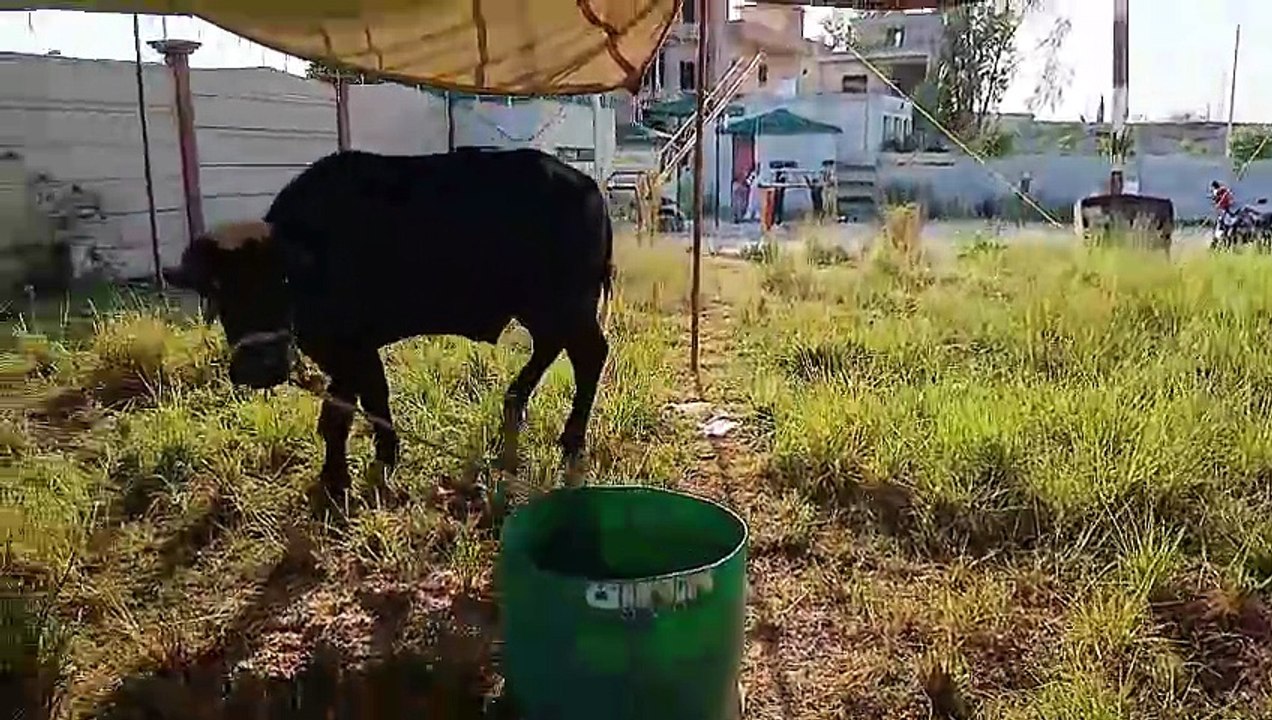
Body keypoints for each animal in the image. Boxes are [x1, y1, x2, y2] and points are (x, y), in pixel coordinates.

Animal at [168, 147, 613, 511]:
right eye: (218, 288)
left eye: (283, 280)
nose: (260, 367)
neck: (316, 253)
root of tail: (589, 188)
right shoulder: (351, 355)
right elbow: (371, 402)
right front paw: (383, 454)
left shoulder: (350, 351)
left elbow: (338, 416)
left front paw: (336, 480)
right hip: (542, 309)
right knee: (551, 346)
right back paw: (515, 401)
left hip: (567, 306)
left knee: (590, 356)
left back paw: (571, 438)